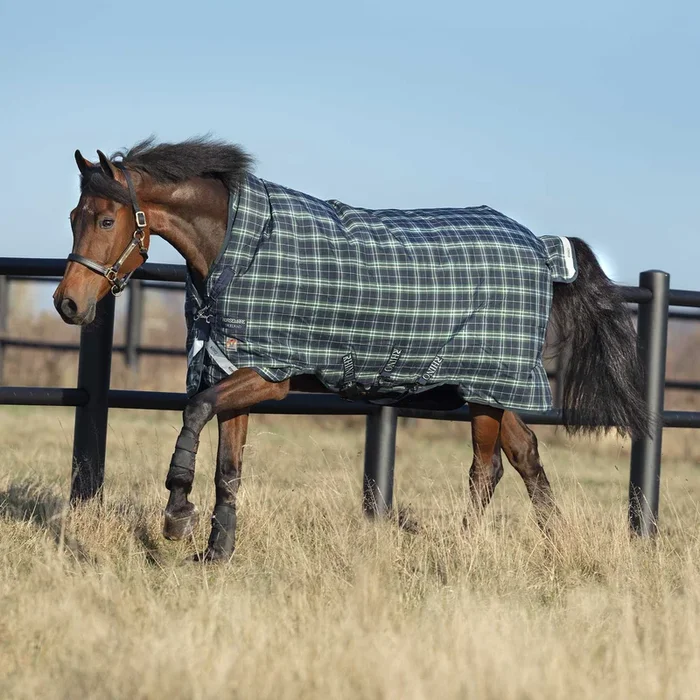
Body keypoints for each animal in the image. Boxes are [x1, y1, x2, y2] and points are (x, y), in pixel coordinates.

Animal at [54, 138, 647, 562]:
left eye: (106, 219)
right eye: (73, 218)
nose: (68, 304)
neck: (239, 246)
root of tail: (542, 249)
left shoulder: (268, 373)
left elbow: (194, 414)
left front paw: (177, 513)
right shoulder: (231, 367)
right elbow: (228, 466)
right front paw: (215, 553)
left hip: (486, 385)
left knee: (487, 468)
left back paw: (464, 551)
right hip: (491, 391)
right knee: (525, 454)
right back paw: (556, 544)